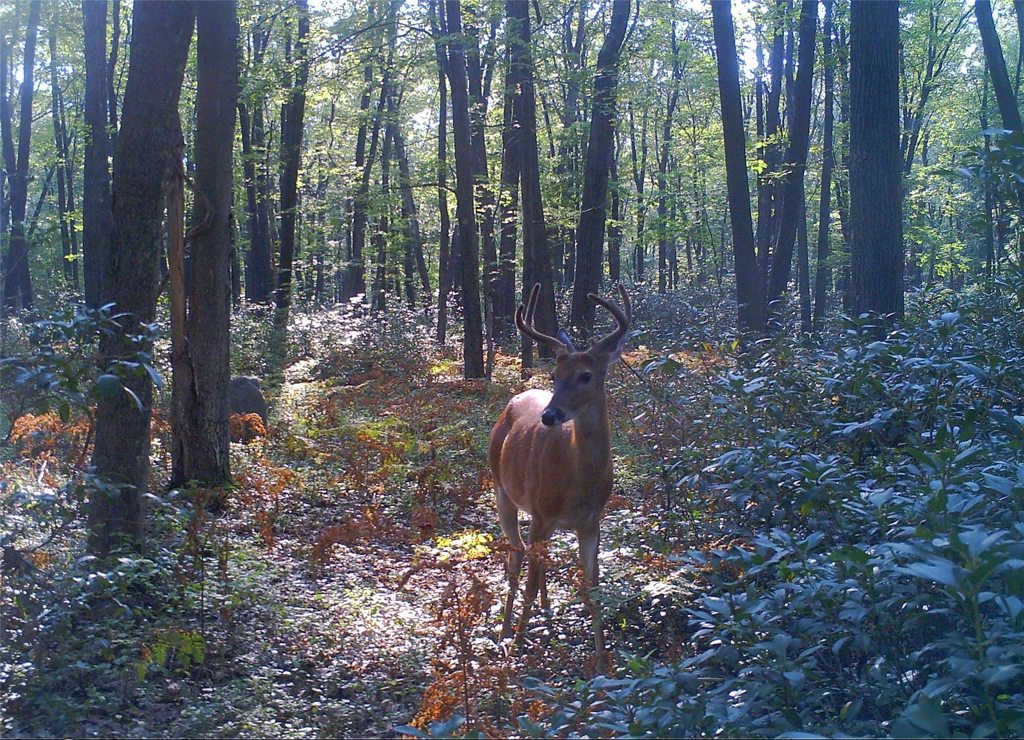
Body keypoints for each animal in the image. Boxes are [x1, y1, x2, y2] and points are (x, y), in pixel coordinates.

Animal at [488, 282, 631, 673]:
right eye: (554, 375)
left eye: (586, 375)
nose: (550, 416)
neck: (578, 482)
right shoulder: (540, 512)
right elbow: (530, 579)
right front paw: (518, 647)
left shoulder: (591, 522)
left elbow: (593, 587)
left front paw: (602, 662)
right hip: (502, 491)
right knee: (517, 557)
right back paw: (506, 631)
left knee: (538, 564)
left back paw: (548, 618)